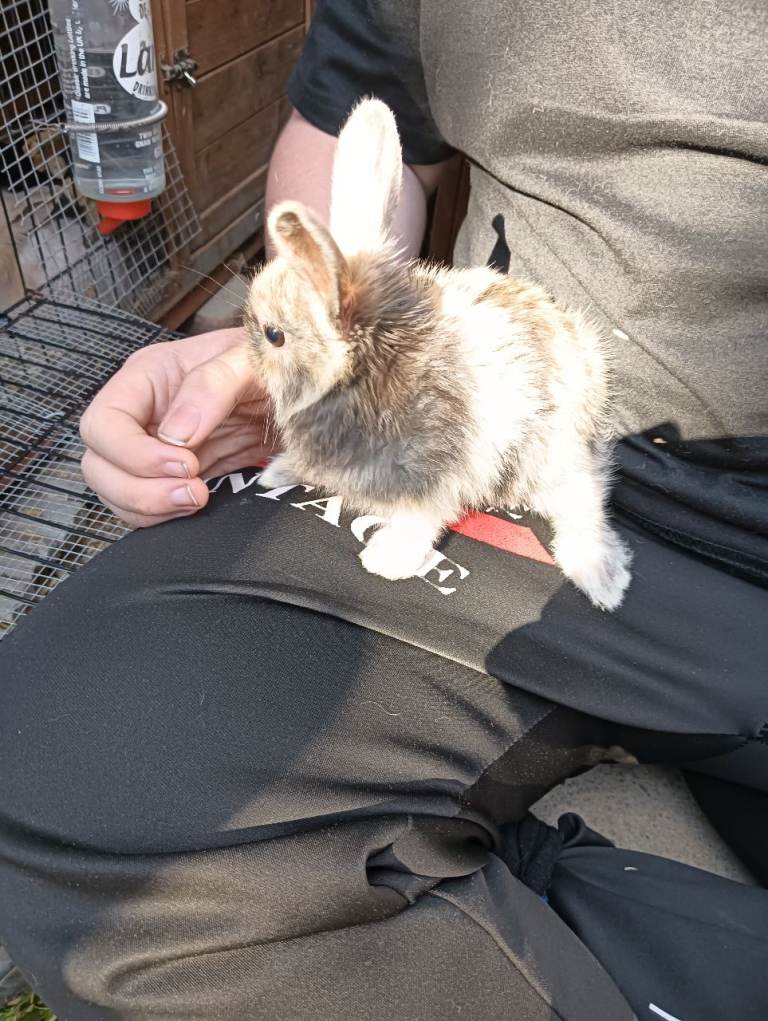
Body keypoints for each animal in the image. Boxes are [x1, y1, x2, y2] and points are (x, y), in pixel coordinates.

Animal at [244, 99, 632, 611]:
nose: (246, 352)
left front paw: (387, 561)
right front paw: (275, 474)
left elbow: (420, 520)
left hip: (558, 457)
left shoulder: (433, 473)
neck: (366, 374)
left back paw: (605, 583)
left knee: (585, 507)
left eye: (274, 335)